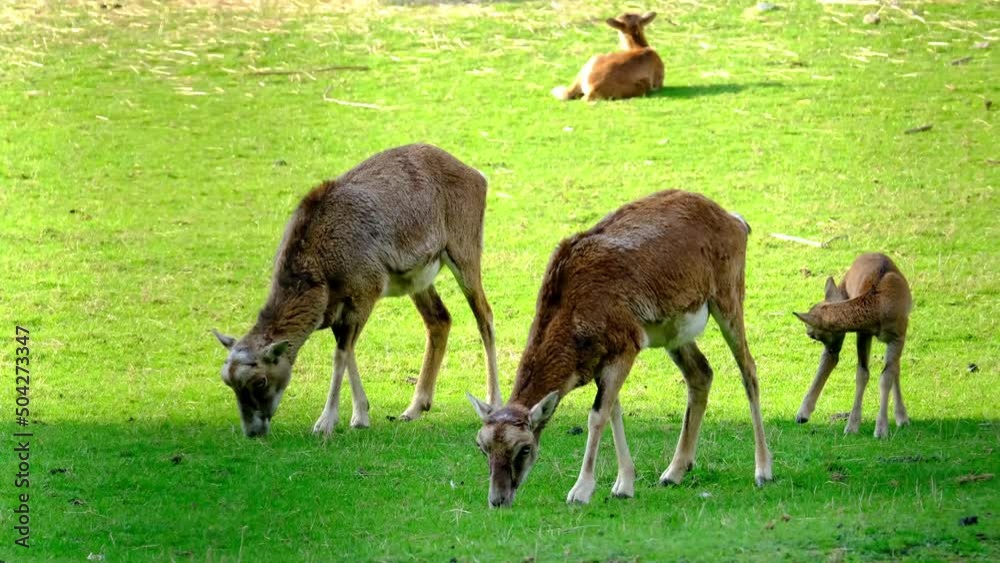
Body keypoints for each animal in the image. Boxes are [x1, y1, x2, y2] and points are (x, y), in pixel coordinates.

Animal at [212, 143, 503, 438]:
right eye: (228, 382)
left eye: (260, 381)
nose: (253, 431)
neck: (321, 263)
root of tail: (477, 176)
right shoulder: (340, 310)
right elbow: (348, 350)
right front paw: (360, 415)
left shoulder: (365, 293)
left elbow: (340, 354)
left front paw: (325, 423)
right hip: (418, 281)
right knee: (440, 320)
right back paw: (412, 409)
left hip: (464, 254)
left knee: (484, 317)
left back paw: (493, 403)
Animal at [467, 190, 773, 507]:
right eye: (482, 446)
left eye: (524, 448)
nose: (498, 499)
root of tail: (737, 222)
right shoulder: (602, 361)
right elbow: (613, 410)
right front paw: (623, 485)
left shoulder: (626, 345)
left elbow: (597, 416)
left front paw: (581, 491)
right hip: (674, 332)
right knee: (701, 373)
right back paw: (673, 472)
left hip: (728, 297)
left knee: (749, 370)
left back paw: (763, 471)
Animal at [793, 253, 912, 439]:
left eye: (812, 334)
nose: (808, 332)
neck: (879, 306)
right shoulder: (863, 333)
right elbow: (862, 374)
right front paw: (851, 427)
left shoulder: (898, 335)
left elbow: (887, 376)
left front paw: (881, 430)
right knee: (829, 360)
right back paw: (802, 414)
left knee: (895, 368)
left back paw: (902, 418)